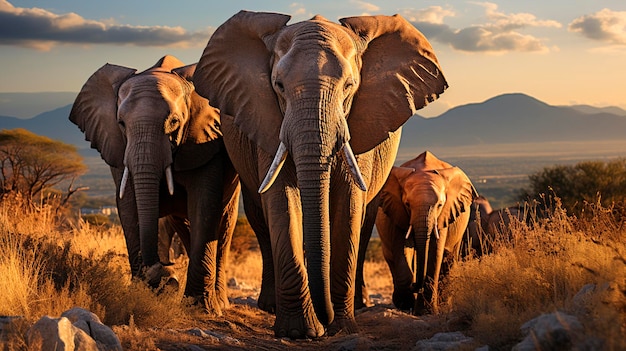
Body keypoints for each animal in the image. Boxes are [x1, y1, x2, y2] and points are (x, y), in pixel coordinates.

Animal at [68, 55, 239, 316]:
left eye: (175, 122)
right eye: (121, 123)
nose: (166, 273)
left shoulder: (205, 141)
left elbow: (204, 204)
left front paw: (201, 309)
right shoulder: (119, 147)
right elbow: (129, 207)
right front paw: (140, 292)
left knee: (224, 226)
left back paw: (220, 304)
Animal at [193, 11, 446, 340]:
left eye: (350, 86)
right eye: (278, 86)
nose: (325, 318)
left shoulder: (360, 124)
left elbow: (348, 205)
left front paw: (341, 328)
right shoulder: (268, 121)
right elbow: (282, 202)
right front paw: (299, 331)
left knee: (364, 222)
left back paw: (357, 306)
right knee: (261, 218)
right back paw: (272, 307)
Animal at [372, 151, 476, 316]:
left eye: (440, 205)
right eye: (407, 204)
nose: (415, 285)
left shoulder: (443, 215)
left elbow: (435, 252)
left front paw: (425, 312)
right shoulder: (397, 210)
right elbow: (402, 249)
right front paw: (406, 305)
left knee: (449, 258)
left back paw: (442, 304)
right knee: (391, 257)